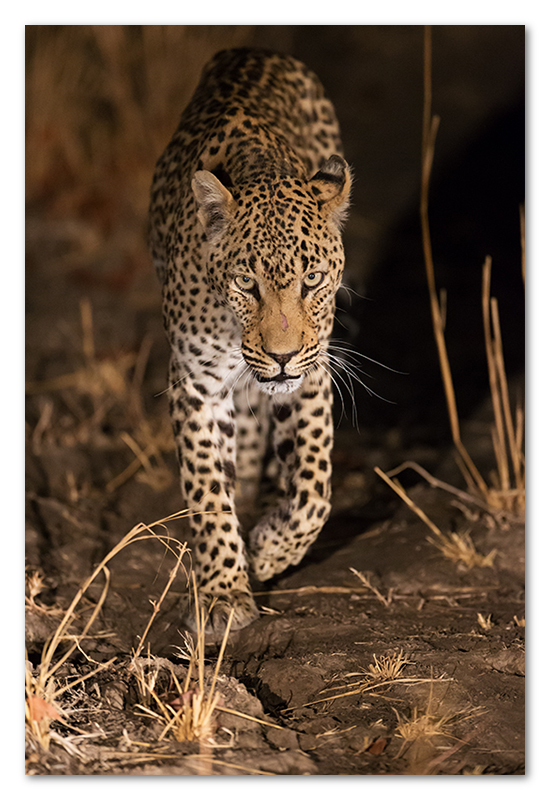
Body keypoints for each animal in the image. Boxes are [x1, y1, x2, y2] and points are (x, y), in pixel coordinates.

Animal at [149, 48, 352, 636]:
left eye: (312, 279)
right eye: (245, 282)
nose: (281, 357)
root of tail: (255, 50)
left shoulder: (311, 374)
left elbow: (314, 489)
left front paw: (267, 551)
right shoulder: (196, 383)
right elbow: (206, 490)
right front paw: (222, 591)